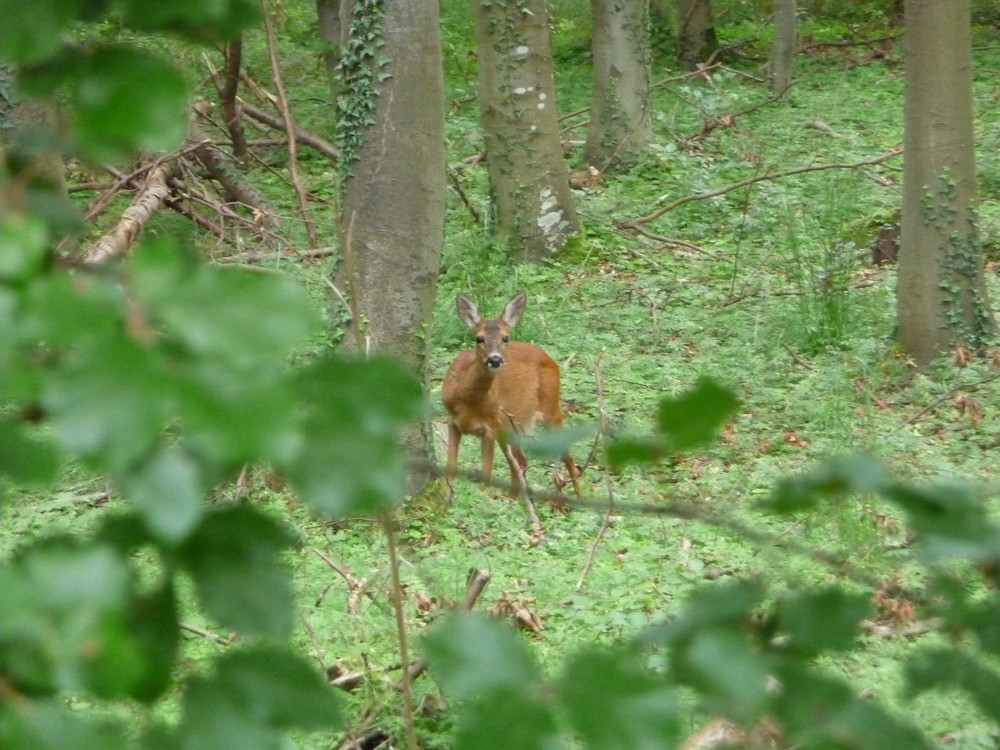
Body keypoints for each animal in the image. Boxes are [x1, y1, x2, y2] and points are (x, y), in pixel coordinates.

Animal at [442, 292, 584, 500]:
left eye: (505, 338)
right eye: (479, 338)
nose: (495, 359)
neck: (468, 401)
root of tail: (549, 358)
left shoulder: (490, 427)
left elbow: (486, 475)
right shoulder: (453, 422)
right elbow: (450, 469)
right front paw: (446, 498)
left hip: (550, 409)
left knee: (569, 460)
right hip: (509, 426)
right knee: (521, 463)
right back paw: (513, 500)